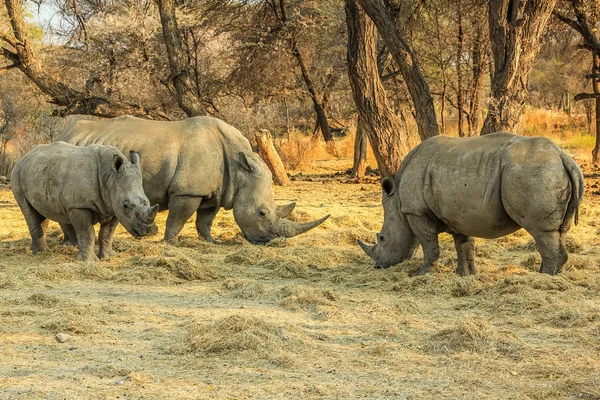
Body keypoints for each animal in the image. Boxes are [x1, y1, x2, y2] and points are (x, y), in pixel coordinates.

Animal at [12, 142, 161, 260]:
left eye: (147, 201)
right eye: (126, 206)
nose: (150, 231)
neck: (110, 177)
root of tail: (24, 156)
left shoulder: (113, 206)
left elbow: (107, 234)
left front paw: (108, 257)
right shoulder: (79, 205)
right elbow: (87, 233)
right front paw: (88, 261)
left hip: (41, 172)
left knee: (43, 212)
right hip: (17, 173)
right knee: (29, 212)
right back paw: (41, 253)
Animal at [55, 115, 328, 245]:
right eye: (262, 213)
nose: (272, 241)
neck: (241, 168)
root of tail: (65, 131)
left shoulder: (216, 191)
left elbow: (205, 220)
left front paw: (211, 242)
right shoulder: (187, 191)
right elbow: (178, 219)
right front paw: (171, 244)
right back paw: (69, 243)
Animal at [358, 133, 584, 276]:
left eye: (382, 238)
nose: (378, 266)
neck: (397, 203)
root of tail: (563, 156)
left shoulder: (415, 212)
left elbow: (429, 244)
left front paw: (421, 274)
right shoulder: (458, 215)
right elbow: (464, 245)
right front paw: (465, 275)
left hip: (536, 171)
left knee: (541, 231)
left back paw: (543, 277)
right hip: (548, 170)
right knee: (559, 231)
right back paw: (549, 274)